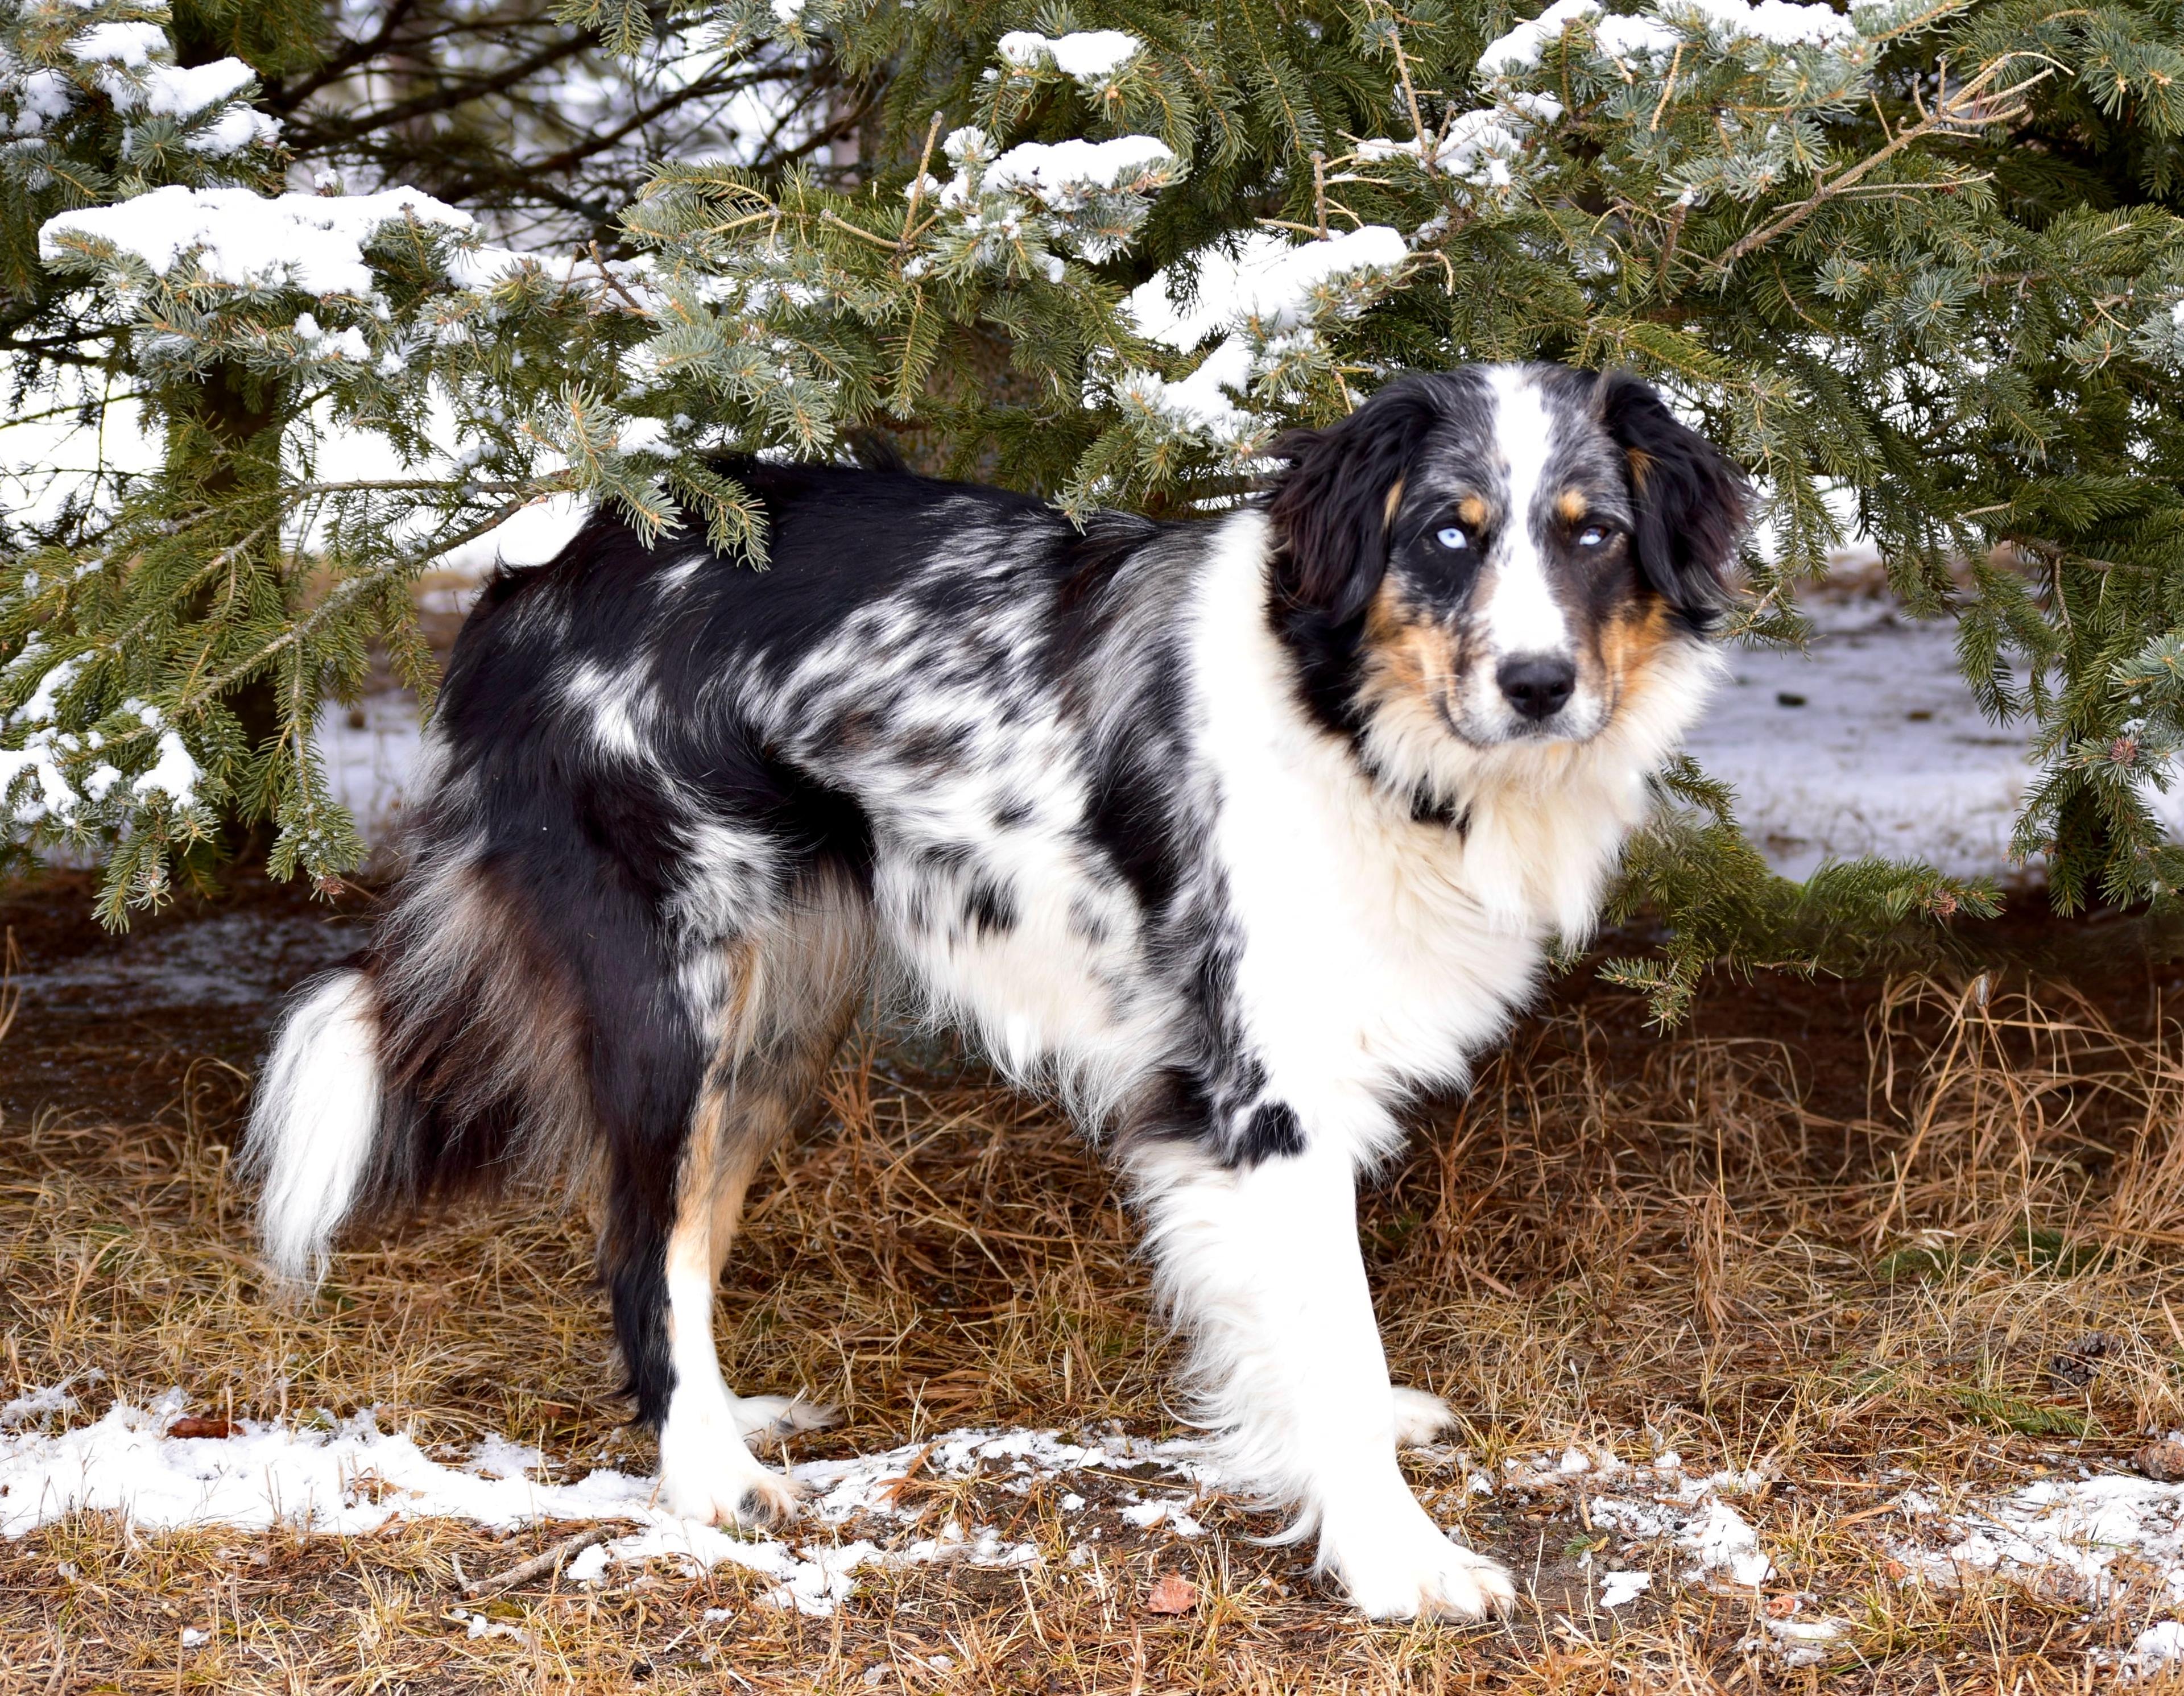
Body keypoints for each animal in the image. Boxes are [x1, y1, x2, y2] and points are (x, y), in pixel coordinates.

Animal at [243, 364, 1738, 1624]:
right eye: (1446, 534)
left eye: (1593, 535)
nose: (1538, 685)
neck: (1354, 720)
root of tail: (545, 571)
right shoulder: (1258, 1097)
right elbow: (1333, 1344)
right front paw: (1396, 1559)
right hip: (678, 1001)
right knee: (636, 1250)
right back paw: (708, 1477)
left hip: (780, 1016)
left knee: (689, 1236)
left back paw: (729, 1423)